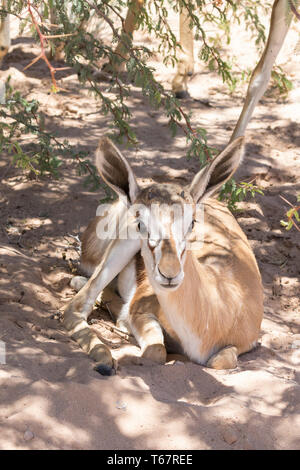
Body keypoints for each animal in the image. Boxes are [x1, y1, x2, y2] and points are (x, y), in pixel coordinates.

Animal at [62, 0, 296, 374]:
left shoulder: (241, 345)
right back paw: (103, 352)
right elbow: (155, 352)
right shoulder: (142, 310)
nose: (169, 274)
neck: (218, 311)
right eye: (142, 223)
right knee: (75, 307)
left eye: (193, 223)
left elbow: (222, 361)